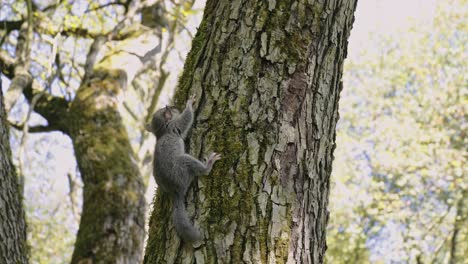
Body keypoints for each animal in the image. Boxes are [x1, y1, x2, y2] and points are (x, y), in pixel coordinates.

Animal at [145, 95, 220, 243]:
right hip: (184, 162)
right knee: (202, 170)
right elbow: (187, 117)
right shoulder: (176, 126)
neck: (162, 130)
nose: (175, 106)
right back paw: (209, 164)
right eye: (171, 108)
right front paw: (190, 103)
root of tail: (176, 191)